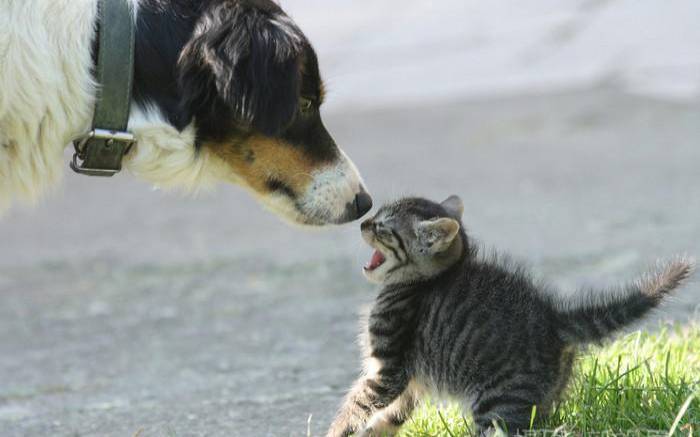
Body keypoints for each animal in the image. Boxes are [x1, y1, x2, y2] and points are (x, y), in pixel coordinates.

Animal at [328, 196, 696, 434]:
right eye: (376, 217)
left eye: (383, 228)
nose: (363, 222)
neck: (418, 283)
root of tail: (553, 319)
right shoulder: (410, 380)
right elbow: (390, 415)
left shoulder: (388, 370)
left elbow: (357, 404)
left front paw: (336, 430)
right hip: (538, 403)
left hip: (497, 407)